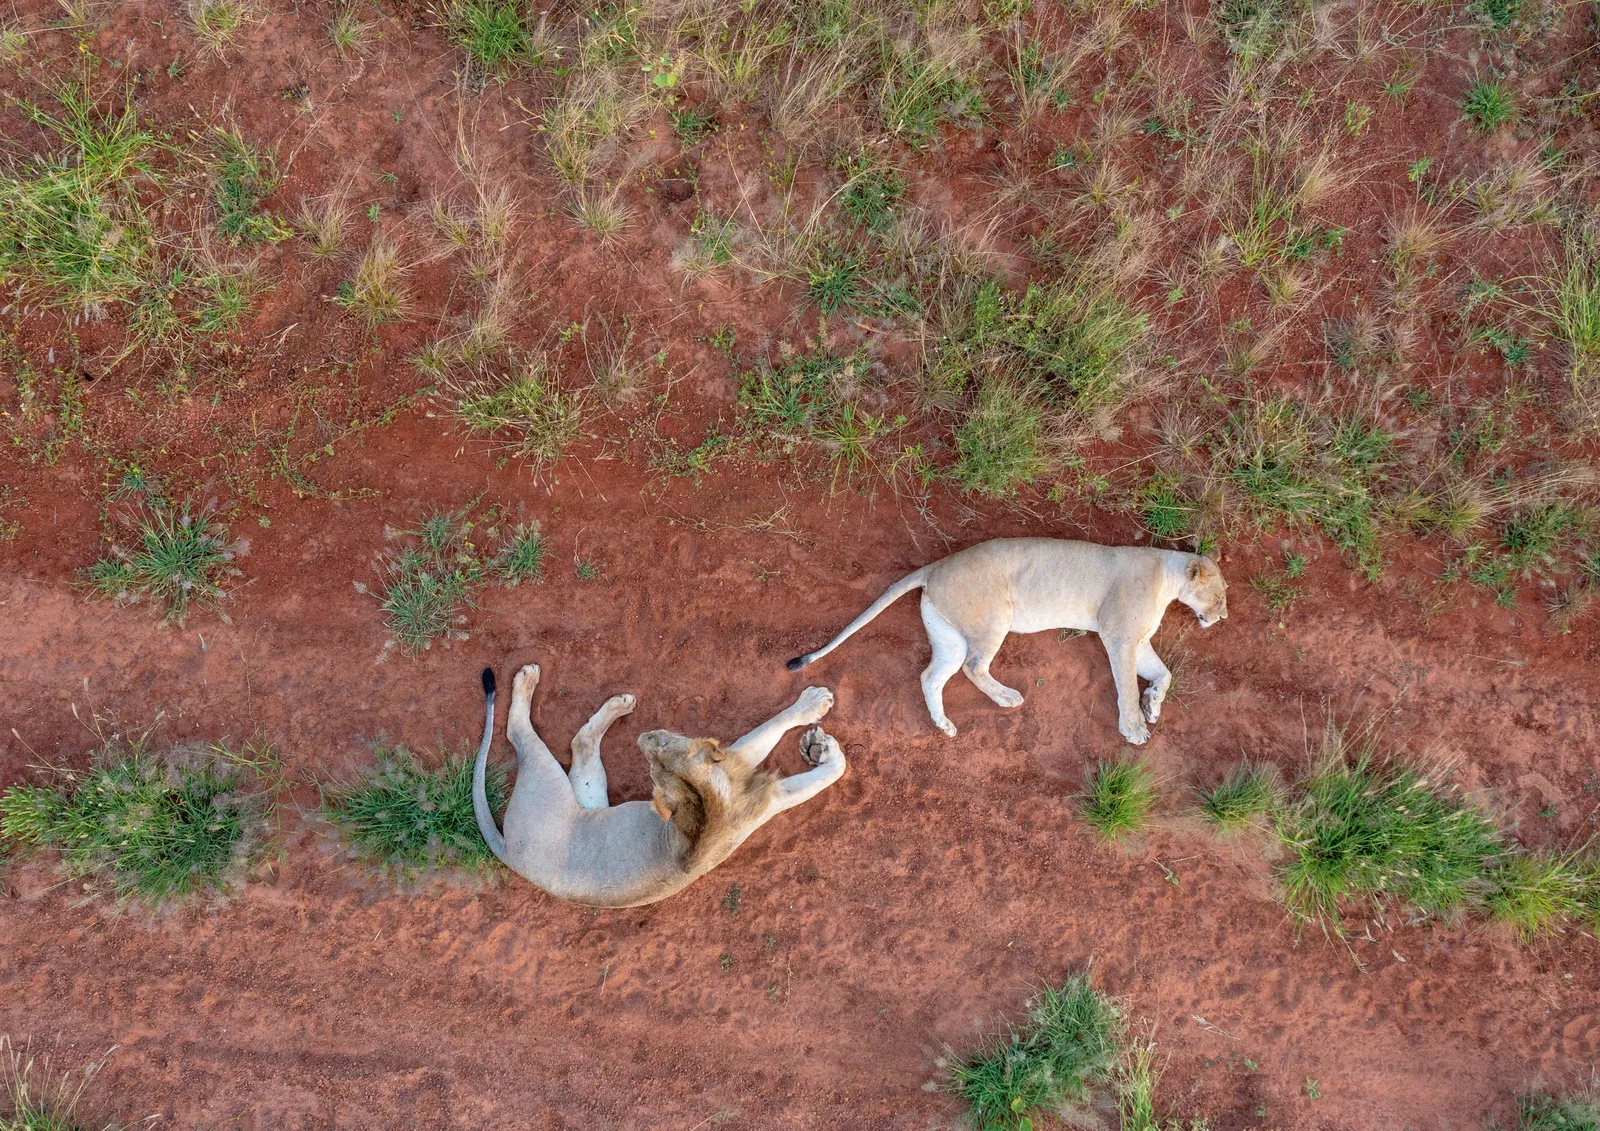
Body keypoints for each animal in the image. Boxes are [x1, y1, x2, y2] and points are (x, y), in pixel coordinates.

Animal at [471, 664, 846, 907]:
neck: (705, 805)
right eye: (652, 765)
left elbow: (817, 777)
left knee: (580, 743)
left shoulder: (764, 798)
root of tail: (509, 853)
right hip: (546, 777)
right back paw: (528, 678)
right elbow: (776, 730)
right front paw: (815, 706)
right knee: (517, 732)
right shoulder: (742, 764)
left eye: (662, 747)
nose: (642, 737)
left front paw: (817, 747)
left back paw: (618, 705)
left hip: (585, 798)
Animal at [786, 537, 1228, 745]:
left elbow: (1164, 674)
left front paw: (1153, 703)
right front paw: (1135, 725)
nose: (1224, 617)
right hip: (994, 615)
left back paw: (944, 724)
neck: (1167, 577)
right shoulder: (1119, 637)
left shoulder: (1138, 641)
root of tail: (935, 566)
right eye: (1221, 595)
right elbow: (1126, 687)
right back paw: (1006, 698)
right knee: (973, 667)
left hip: (950, 634)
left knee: (931, 675)